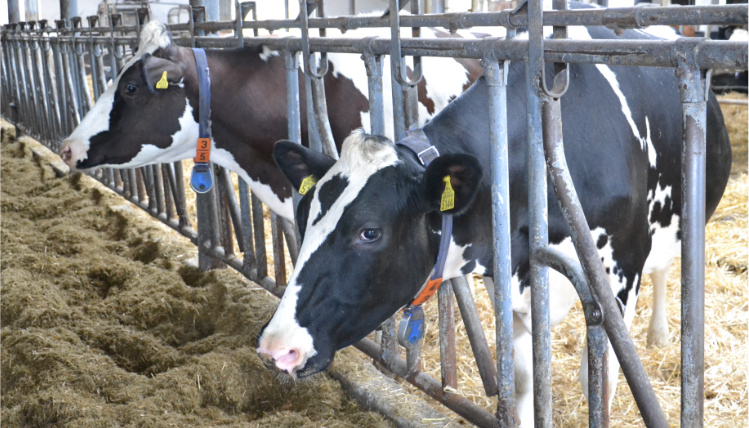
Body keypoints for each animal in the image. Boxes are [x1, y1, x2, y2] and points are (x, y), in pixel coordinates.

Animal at [256, 21, 732, 426]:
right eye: (304, 216)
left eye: (369, 232)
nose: (276, 346)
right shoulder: (508, 278)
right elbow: (519, 380)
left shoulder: (618, 278)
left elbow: (601, 381)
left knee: (665, 266)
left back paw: (658, 335)